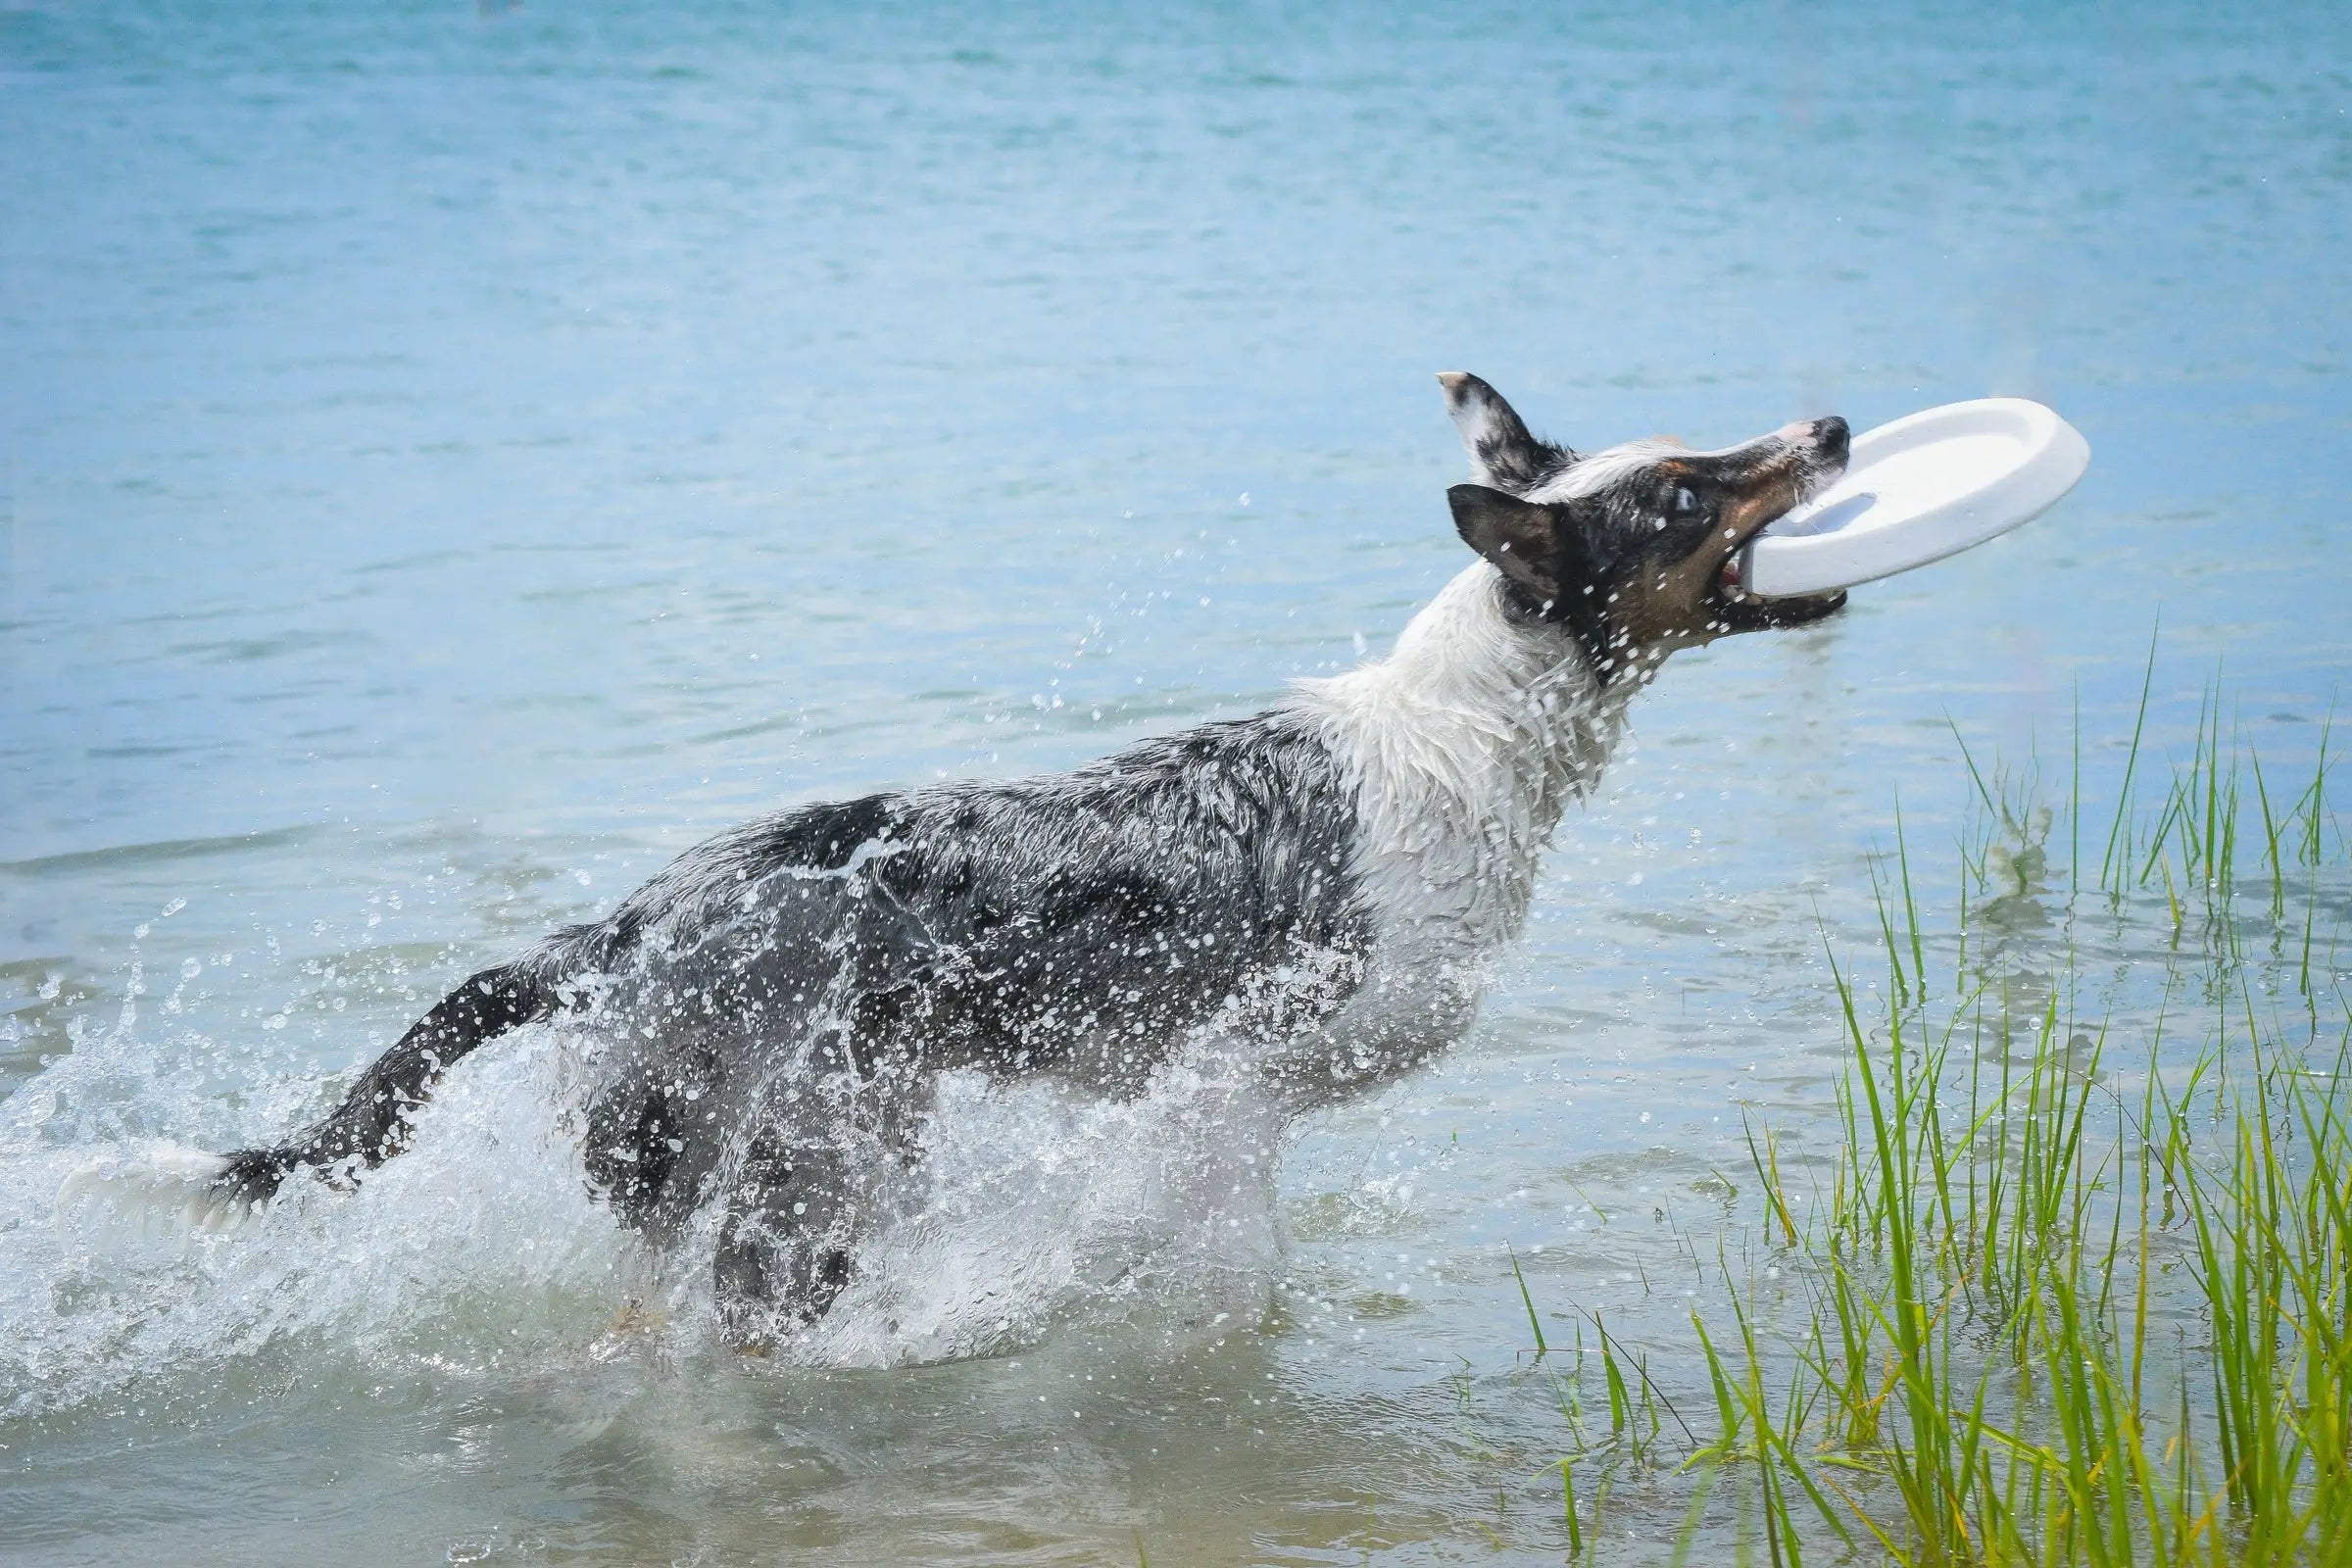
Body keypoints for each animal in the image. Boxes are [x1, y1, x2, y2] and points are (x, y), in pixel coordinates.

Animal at [137, 375, 1843, 1353]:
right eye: (1684, 493)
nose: (1829, 427)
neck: (1458, 741)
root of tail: (613, 929)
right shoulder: (1227, 1083)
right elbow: (1202, 1247)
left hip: (844, 1148)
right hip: (759, 1169)